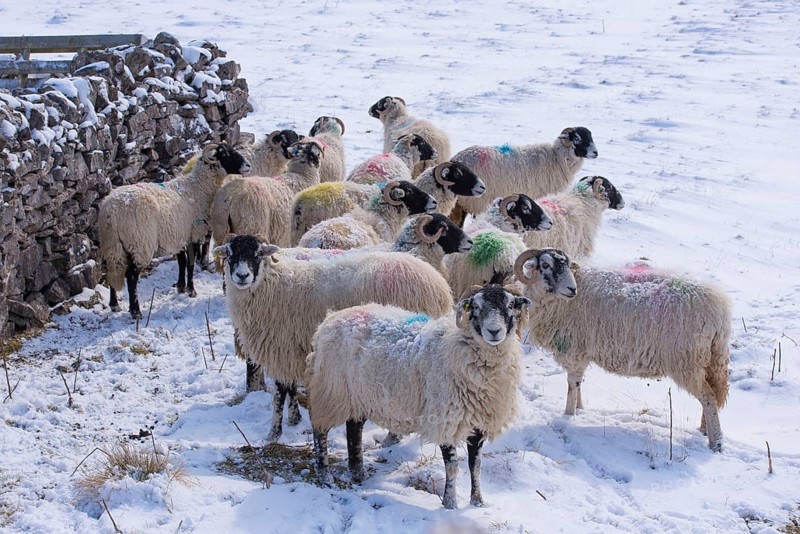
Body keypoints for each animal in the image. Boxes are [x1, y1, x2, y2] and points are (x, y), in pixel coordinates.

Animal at [99, 143, 251, 319]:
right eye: (226, 154)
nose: (248, 165)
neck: (199, 187)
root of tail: (111, 209)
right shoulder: (194, 233)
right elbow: (190, 264)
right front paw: (191, 290)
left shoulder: (178, 235)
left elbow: (181, 262)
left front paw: (181, 287)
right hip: (139, 243)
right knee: (131, 276)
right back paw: (135, 311)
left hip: (111, 245)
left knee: (111, 270)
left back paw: (114, 305)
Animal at [213, 234, 455, 442]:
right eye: (230, 254)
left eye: (257, 254)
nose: (242, 276)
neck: (271, 285)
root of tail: (439, 286)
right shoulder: (293, 351)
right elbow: (290, 389)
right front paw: (294, 420)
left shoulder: (282, 347)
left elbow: (280, 392)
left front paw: (274, 432)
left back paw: (391, 438)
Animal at [307, 283, 531, 508]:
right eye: (476, 306)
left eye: (510, 305)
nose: (494, 331)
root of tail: (329, 319)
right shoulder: (444, 418)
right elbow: (452, 466)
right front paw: (450, 504)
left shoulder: (479, 422)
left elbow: (475, 465)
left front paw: (477, 502)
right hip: (330, 392)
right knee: (320, 431)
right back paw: (325, 476)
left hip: (358, 395)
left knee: (354, 429)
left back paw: (358, 473)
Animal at [449, 126, 599, 225]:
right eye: (577, 138)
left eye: (591, 136)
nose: (596, 153)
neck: (557, 157)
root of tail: (456, 158)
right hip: (478, 201)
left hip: (459, 205)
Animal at [514, 248, 732, 452]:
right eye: (546, 265)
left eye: (567, 265)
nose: (571, 289)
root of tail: (720, 311)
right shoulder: (581, 352)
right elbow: (578, 383)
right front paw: (580, 408)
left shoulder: (574, 349)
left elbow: (572, 384)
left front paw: (568, 416)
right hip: (708, 359)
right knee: (712, 392)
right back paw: (704, 430)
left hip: (687, 361)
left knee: (708, 398)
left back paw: (716, 442)